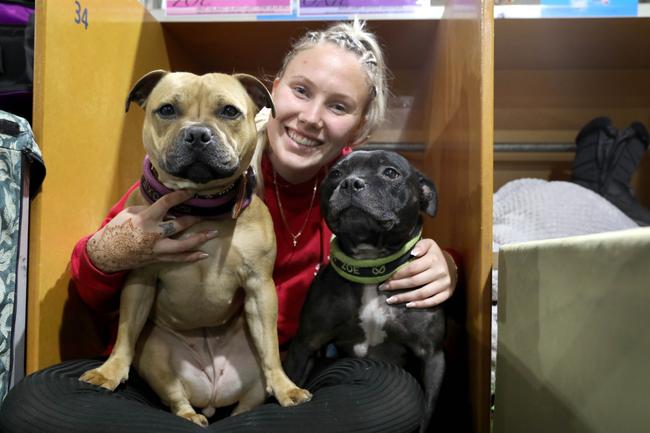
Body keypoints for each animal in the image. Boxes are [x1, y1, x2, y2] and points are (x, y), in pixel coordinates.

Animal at [79, 71, 312, 426]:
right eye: (167, 110)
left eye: (229, 111)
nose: (198, 134)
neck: (202, 205)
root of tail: (212, 391)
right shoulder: (140, 280)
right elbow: (125, 332)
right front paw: (110, 371)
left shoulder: (260, 288)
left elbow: (271, 349)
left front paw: (287, 388)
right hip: (158, 355)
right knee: (177, 398)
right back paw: (192, 416)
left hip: (252, 371)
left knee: (249, 397)